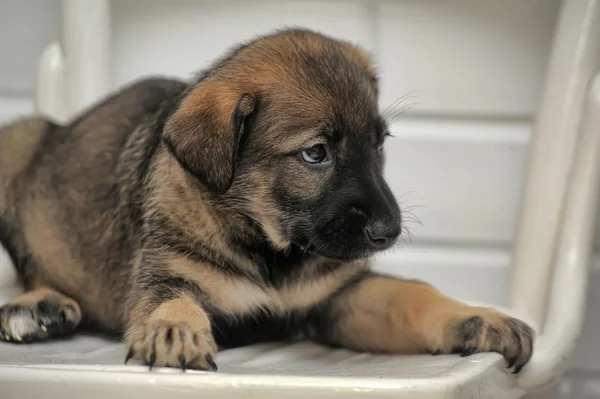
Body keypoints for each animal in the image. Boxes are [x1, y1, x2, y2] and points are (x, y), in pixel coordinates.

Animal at [0, 27, 536, 372]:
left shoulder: (335, 296)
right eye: (316, 153)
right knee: (30, 268)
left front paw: (477, 317)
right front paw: (174, 330)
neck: (269, 249)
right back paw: (39, 305)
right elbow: (170, 300)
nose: (389, 232)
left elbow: (410, 296)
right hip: (18, 143)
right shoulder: (167, 273)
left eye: (379, 143)